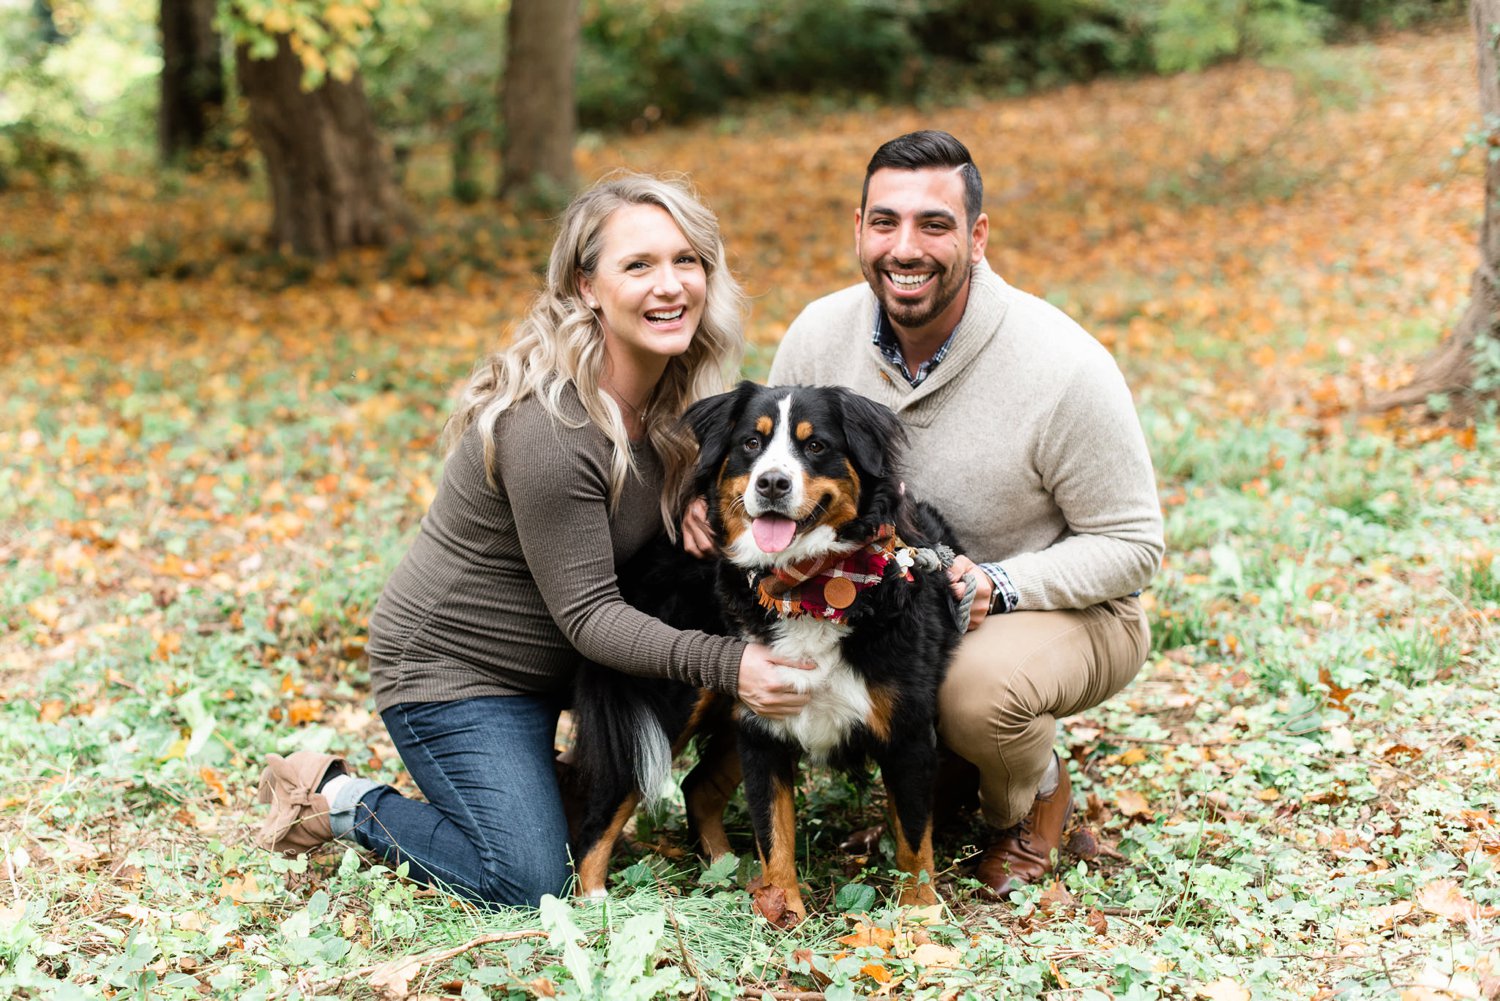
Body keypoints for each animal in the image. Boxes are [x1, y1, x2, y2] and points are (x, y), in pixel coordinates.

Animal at [567, 381, 966, 924]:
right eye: (751, 444)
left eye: (815, 445)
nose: (772, 483)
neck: (811, 588)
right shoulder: (763, 728)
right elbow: (774, 832)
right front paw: (784, 915)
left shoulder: (907, 730)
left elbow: (913, 837)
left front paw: (918, 914)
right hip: (675, 708)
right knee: (602, 816)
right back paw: (592, 909)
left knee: (697, 788)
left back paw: (725, 871)